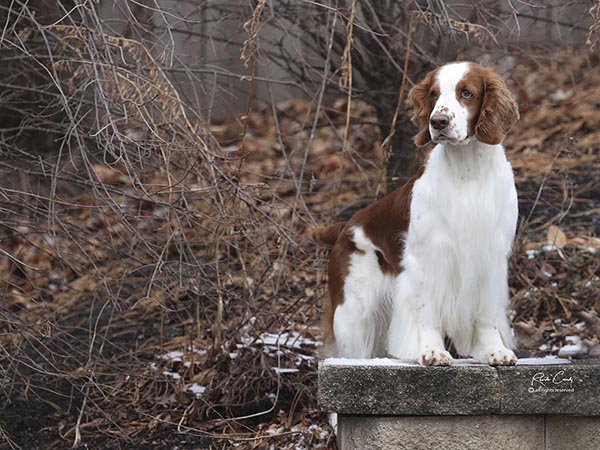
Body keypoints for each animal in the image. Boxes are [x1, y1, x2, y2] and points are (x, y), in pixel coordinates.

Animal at [314, 62, 520, 366]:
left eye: (466, 93)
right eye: (433, 94)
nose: (438, 122)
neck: (468, 171)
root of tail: (343, 228)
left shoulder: (490, 259)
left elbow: (487, 315)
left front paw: (494, 350)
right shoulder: (427, 259)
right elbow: (428, 312)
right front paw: (432, 351)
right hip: (353, 314)